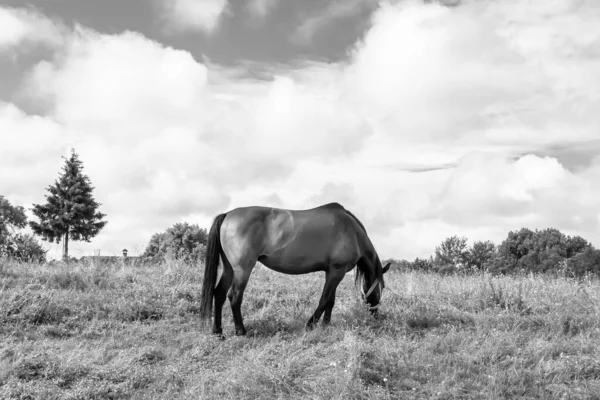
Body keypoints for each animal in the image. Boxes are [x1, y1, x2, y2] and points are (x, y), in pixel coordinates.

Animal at [199, 202, 392, 336]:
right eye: (382, 287)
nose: (376, 315)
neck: (353, 232)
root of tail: (227, 215)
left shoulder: (332, 272)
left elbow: (330, 300)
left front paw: (326, 326)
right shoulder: (337, 271)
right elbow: (324, 300)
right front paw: (311, 325)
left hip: (229, 268)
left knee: (219, 293)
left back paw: (218, 332)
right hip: (242, 269)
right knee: (234, 296)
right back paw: (241, 331)